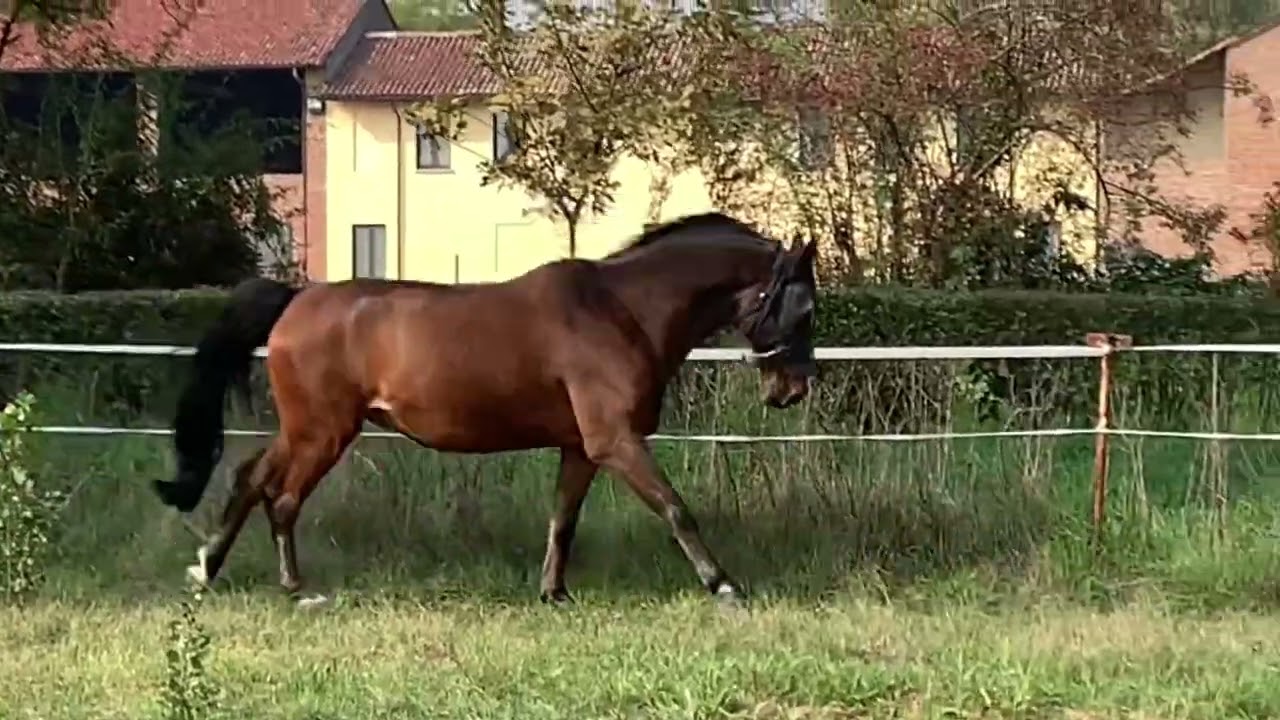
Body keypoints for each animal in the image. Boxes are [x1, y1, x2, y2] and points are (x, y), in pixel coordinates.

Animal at [152, 212, 819, 608]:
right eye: (805, 307)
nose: (792, 391)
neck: (621, 310)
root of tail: (297, 299)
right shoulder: (617, 442)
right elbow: (677, 509)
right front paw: (723, 584)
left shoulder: (580, 448)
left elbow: (562, 520)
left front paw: (553, 592)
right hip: (322, 431)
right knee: (282, 496)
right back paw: (292, 585)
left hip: (306, 429)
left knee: (251, 479)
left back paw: (207, 569)